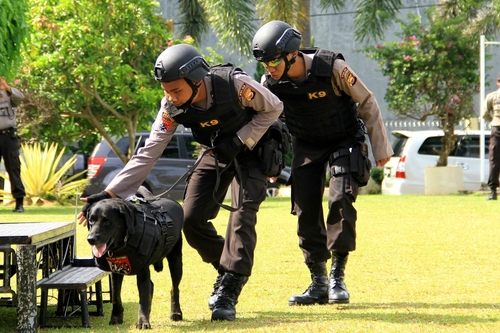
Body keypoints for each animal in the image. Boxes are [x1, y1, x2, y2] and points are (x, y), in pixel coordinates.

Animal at [86, 191, 184, 328]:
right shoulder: (115, 272)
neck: (124, 242)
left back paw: (176, 313)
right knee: (152, 286)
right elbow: (116, 297)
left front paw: (143, 322)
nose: (91, 239)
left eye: (106, 221)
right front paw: (116, 318)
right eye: (91, 220)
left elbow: (143, 299)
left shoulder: (143, 271)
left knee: (174, 288)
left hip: (176, 261)